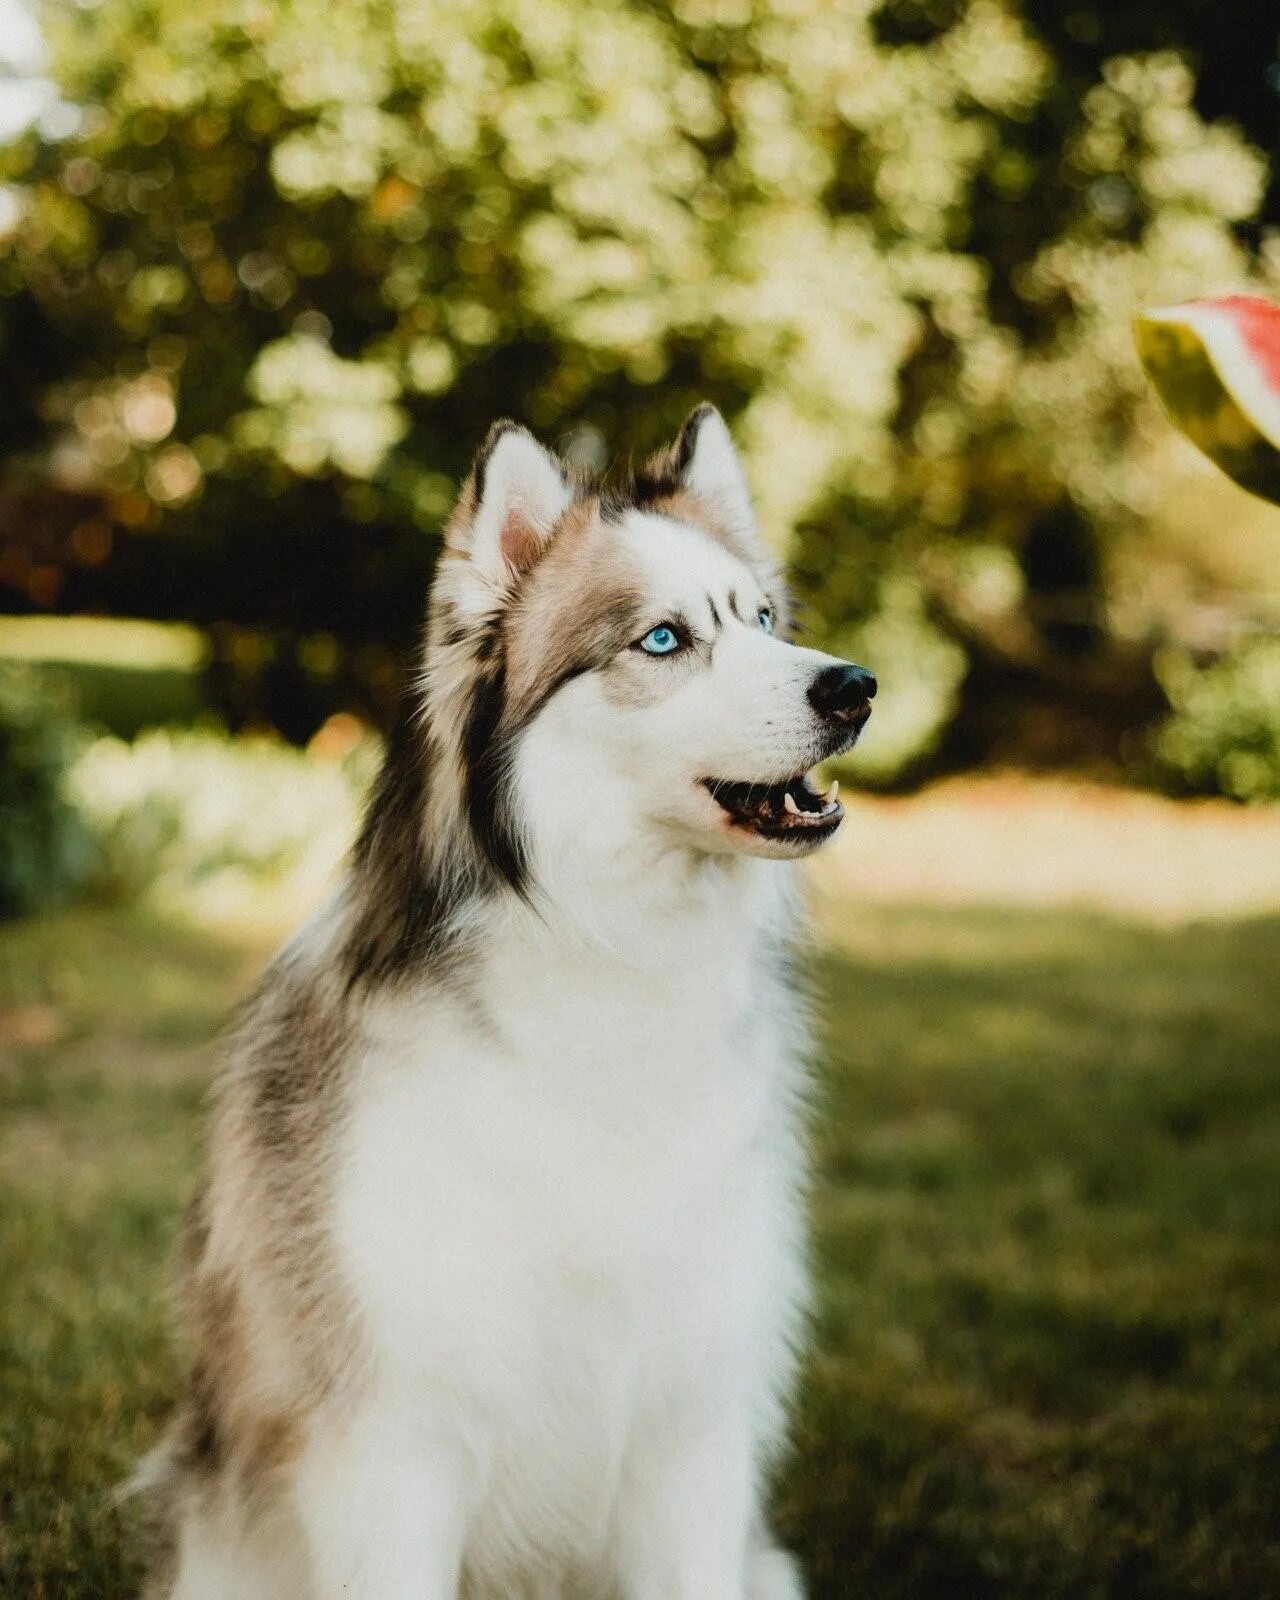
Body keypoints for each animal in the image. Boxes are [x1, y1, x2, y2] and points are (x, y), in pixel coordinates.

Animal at [142, 409, 883, 1600]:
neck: (609, 966)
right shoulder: (393, 1441)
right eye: (663, 640)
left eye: (766, 620)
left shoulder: (690, 1425)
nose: (854, 686)